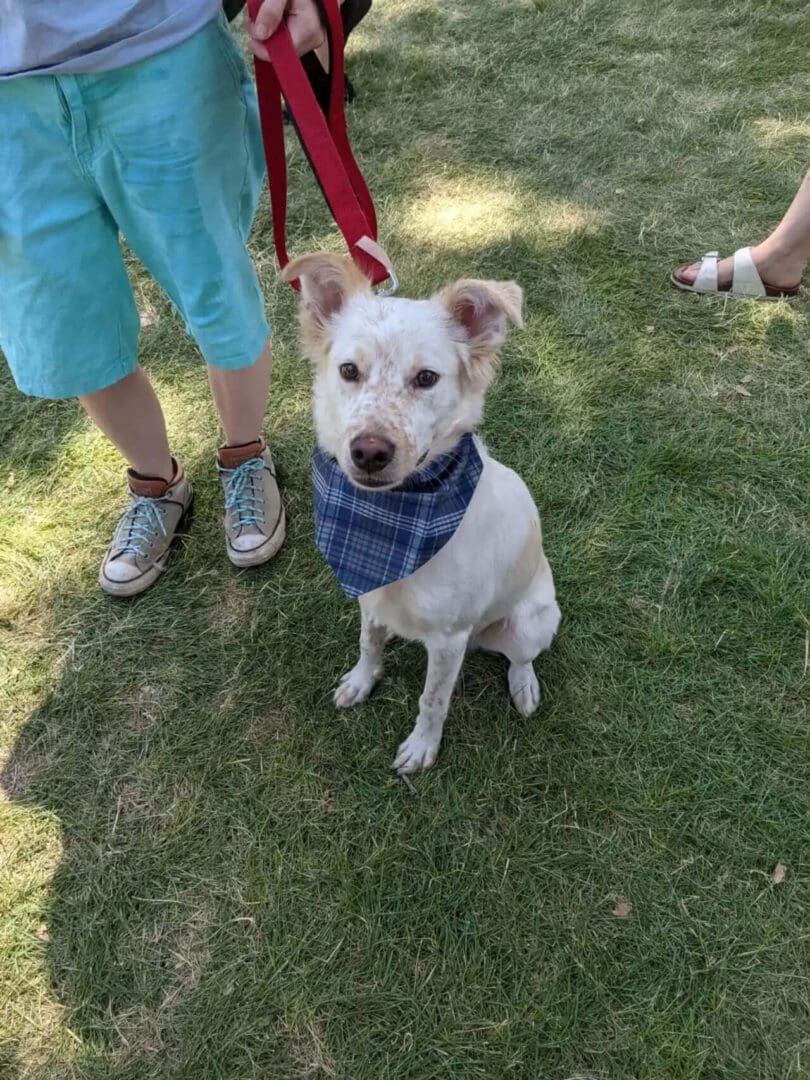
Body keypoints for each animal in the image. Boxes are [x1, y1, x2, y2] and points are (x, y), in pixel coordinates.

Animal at [287, 254, 565, 777]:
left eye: (426, 378)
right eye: (349, 370)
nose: (369, 452)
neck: (390, 521)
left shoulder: (449, 638)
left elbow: (433, 700)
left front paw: (422, 747)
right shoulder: (369, 598)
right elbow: (369, 643)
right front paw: (363, 680)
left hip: (530, 623)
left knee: (521, 659)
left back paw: (524, 688)